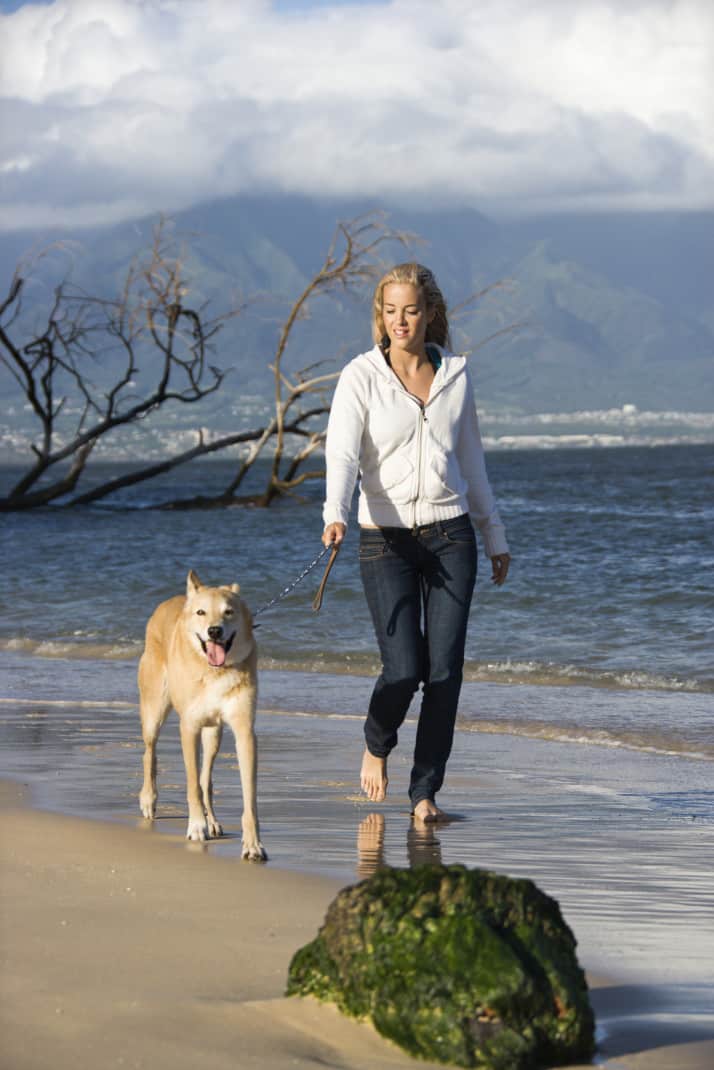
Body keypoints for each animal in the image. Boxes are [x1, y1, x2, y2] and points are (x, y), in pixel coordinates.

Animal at [138, 569, 265, 860]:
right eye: (201, 612)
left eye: (229, 611)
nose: (214, 631)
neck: (215, 671)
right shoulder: (189, 727)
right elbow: (192, 784)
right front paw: (196, 827)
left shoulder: (244, 731)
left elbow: (248, 797)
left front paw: (252, 844)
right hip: (154, 710)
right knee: (150, 752)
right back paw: (149, 799)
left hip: (213, 734)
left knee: (206, 777)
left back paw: (213, 821)